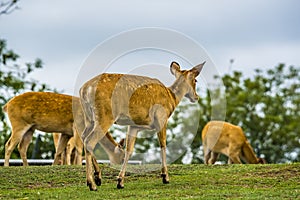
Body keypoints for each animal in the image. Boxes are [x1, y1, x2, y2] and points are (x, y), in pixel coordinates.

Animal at [79, 61, 206, 191]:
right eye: (195, 80)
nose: (196, 97)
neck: (172, 98)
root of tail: (84, 90)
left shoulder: (134, 126)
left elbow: (129, 150)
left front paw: (120, 181)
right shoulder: (161, 119)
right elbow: (163, 145)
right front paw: (165, 177)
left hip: (89, 118)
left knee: (83, 137)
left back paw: (98, 178)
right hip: (105, 115)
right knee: (90, 141)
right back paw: (92, 184)